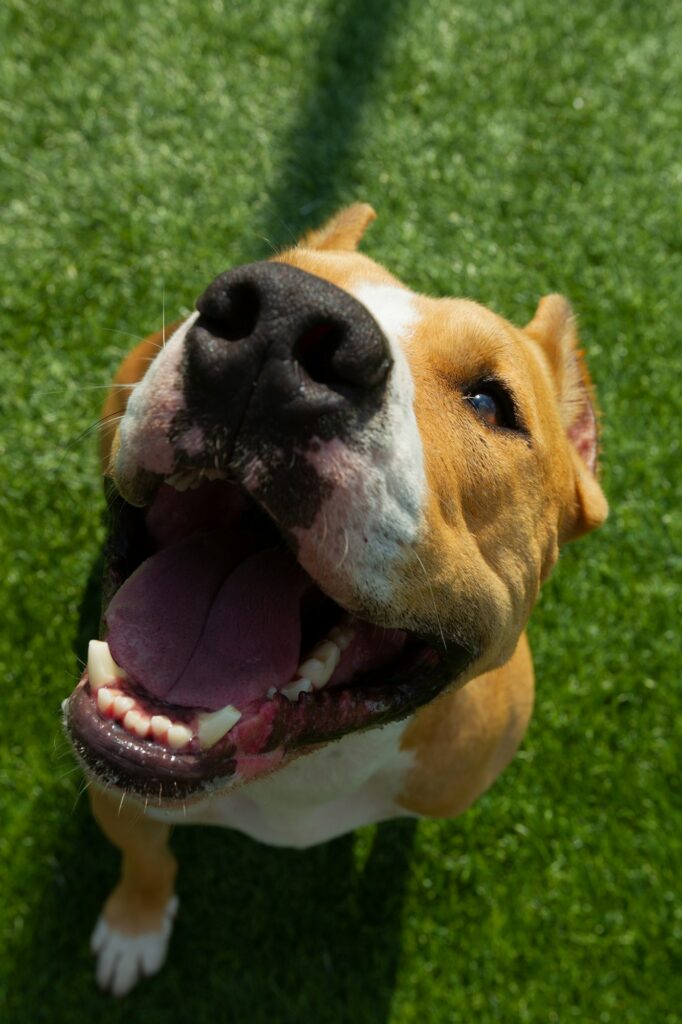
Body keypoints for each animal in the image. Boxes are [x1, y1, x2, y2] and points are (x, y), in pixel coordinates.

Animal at [62, 199, 606, 991]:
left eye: (491, 402)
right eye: (260, 277)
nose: (283, 319)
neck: (310, 763)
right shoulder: (116, 793)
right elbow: (146, 857)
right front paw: (135, 925)